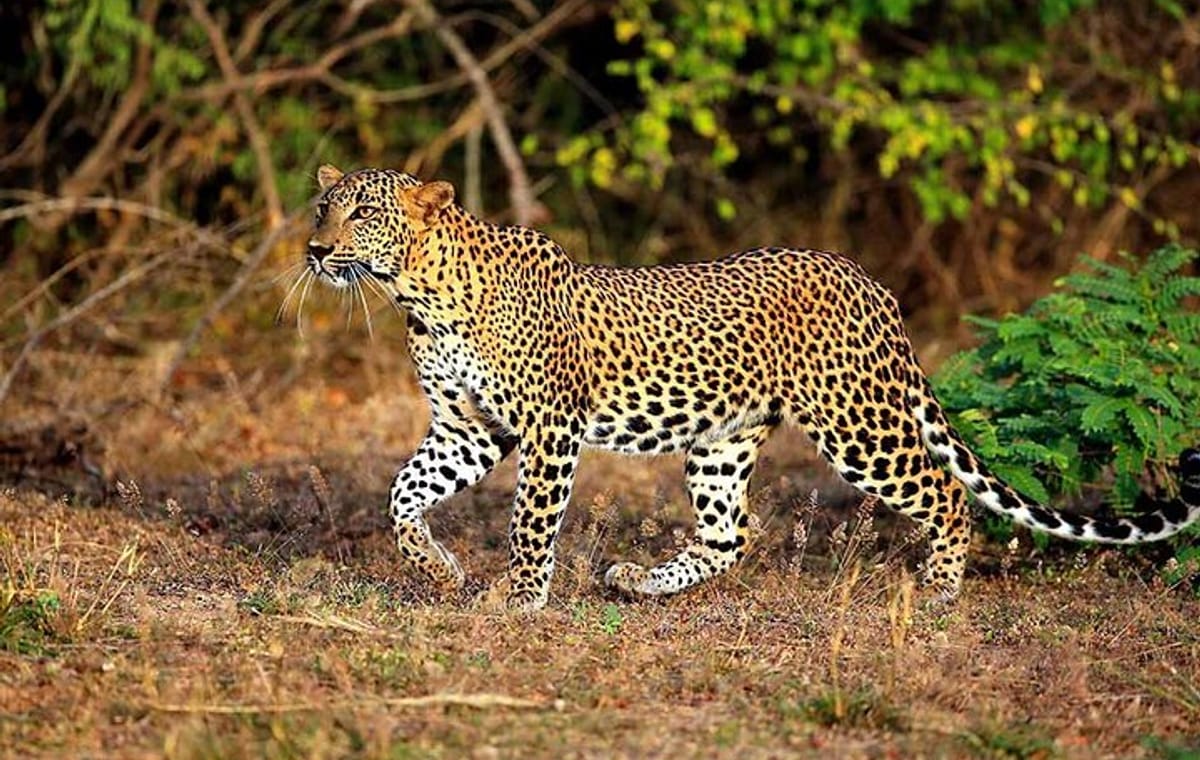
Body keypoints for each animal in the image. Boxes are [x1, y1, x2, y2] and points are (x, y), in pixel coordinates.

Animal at [302, 164, 1200, 612]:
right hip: (723, 439)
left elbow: (529, 523)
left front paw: (515, 600)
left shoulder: (547, 427)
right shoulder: (469, 428)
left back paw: (940, 592)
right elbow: (401, 496)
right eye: (321, 207)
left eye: (362, 214)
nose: (314, 249)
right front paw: (437, 571)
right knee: (734, 533)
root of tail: (869, 281)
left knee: (944, 492)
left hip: (857, 423)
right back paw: (640, 583)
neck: (417, 293)